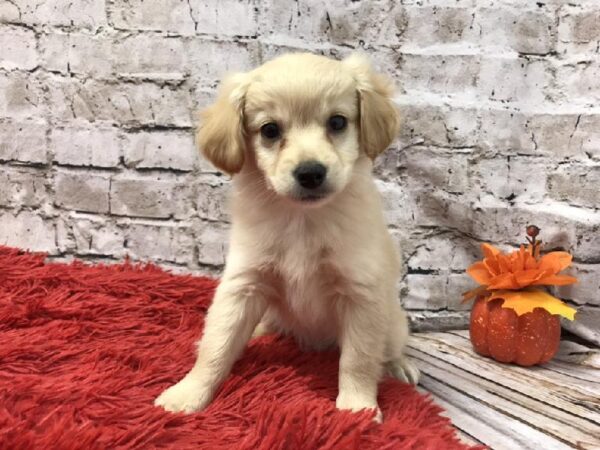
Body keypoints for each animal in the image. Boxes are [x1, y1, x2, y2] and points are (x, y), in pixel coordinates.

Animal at [155, 52, 418, 422]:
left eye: (337, 122)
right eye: (270, 130)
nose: (310, 173)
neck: (301, 220)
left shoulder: (361, 294)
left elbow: (359, 360)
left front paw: (357, 409)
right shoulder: (244, 284)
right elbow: (217, 345)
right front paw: (188, 393)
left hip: (393, 324)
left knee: (387, 349)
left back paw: (398, 366)